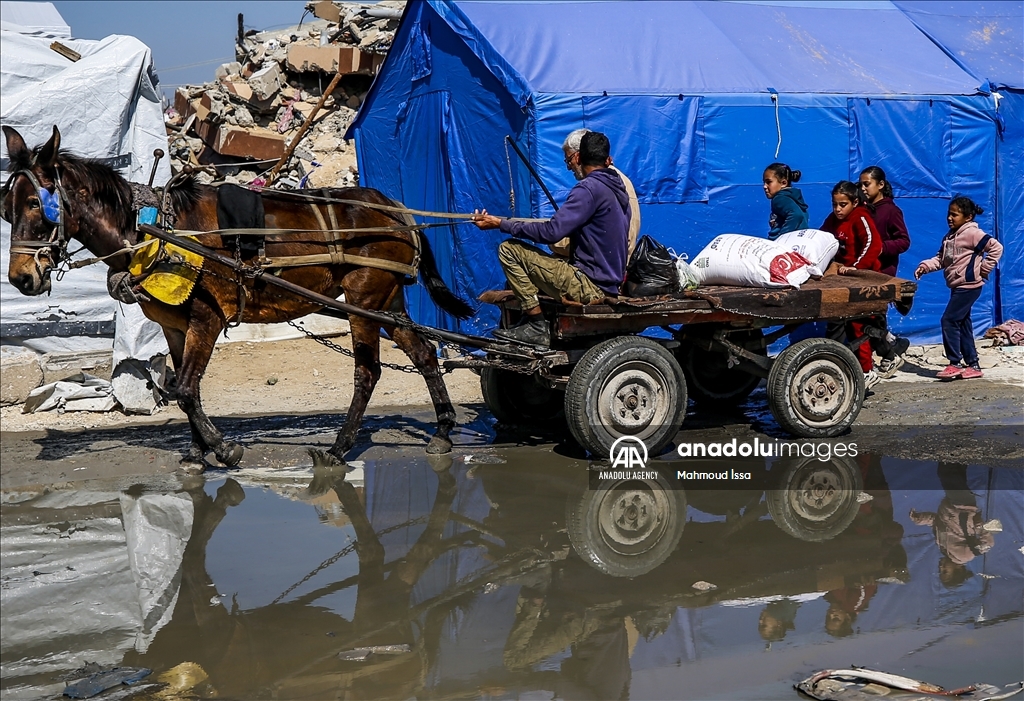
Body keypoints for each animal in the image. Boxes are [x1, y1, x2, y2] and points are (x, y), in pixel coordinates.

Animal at [3, 126, 475, 474]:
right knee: (423, 353)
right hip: (386, 300)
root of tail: (395, 208)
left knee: (368, 373)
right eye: (7, 209)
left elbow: (186, 389)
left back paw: (339, 448)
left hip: (365, 299)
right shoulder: (175, 326)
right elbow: (183, 386)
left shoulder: (207, 318)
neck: (153, 232)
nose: (21, 278)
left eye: (36, 203)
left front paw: (223, 449)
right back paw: (443, 431)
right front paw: (197, 452)